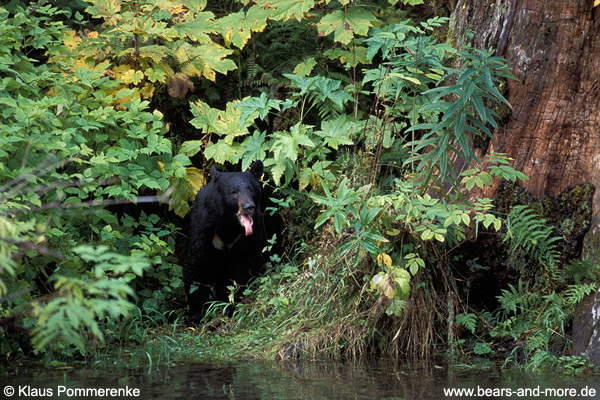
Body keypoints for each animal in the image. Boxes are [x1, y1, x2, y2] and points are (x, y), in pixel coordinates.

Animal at [184, 160, 266, 322]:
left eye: (250, 189)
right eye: (233, 192)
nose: (249, 207)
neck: (230, 225)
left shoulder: (250, 234)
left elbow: (245, 264)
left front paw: (232, 304)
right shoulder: (204, 228)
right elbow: (196, 264)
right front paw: (196, 314)